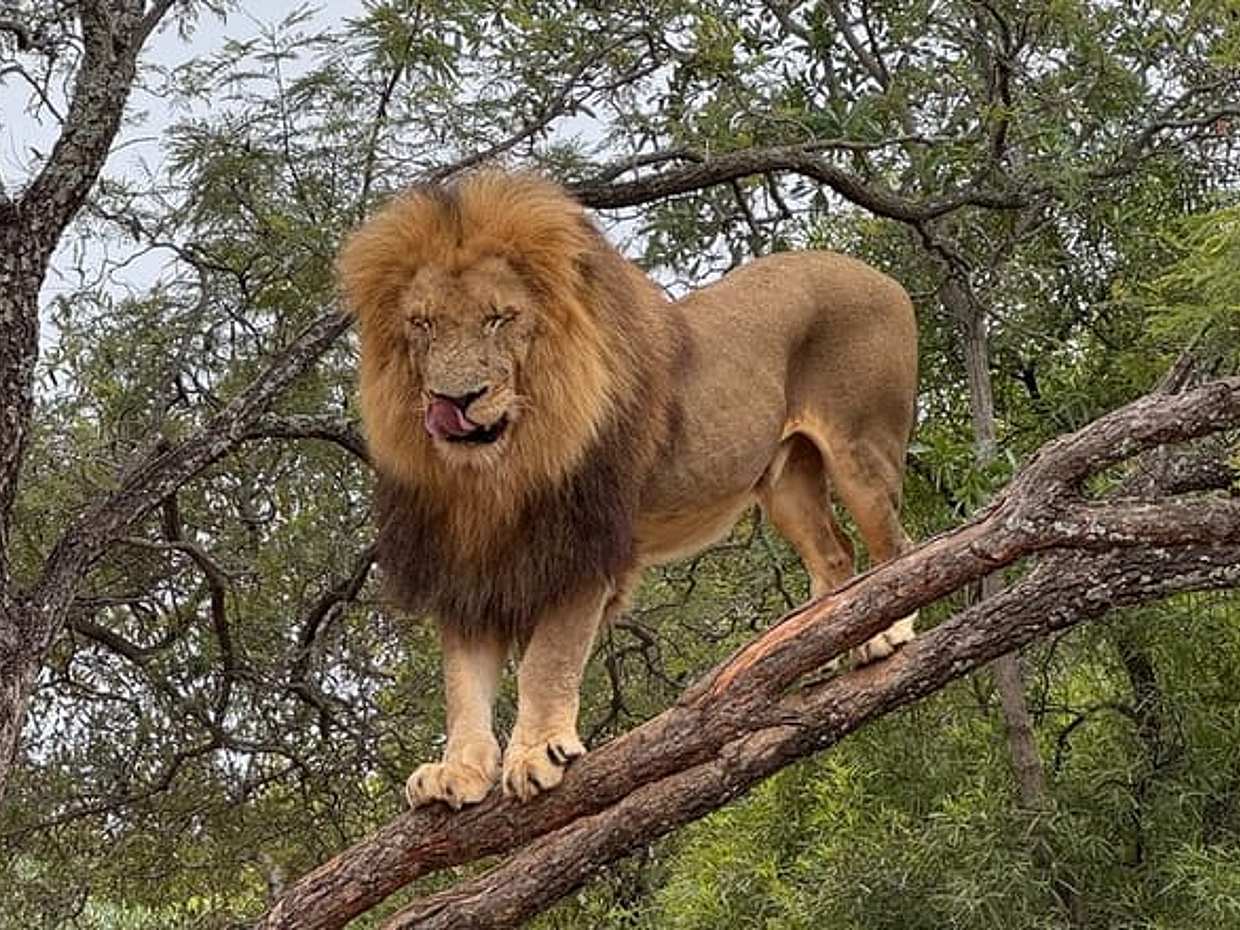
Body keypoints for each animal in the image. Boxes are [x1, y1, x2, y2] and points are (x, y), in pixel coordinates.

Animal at [337, 170, 918, 809]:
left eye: (499, 318)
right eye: (422, 324)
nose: (454, 400)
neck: (495, 475)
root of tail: (879, 275)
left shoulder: (582, 553)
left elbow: (547, 662)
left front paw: (537, 752)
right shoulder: (469, 567)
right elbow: (463, 686)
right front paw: (458, 771)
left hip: (862, 449)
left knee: (898, 549)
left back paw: (886, 631)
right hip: (785, 480)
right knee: (834, 554)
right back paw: (816, 642)